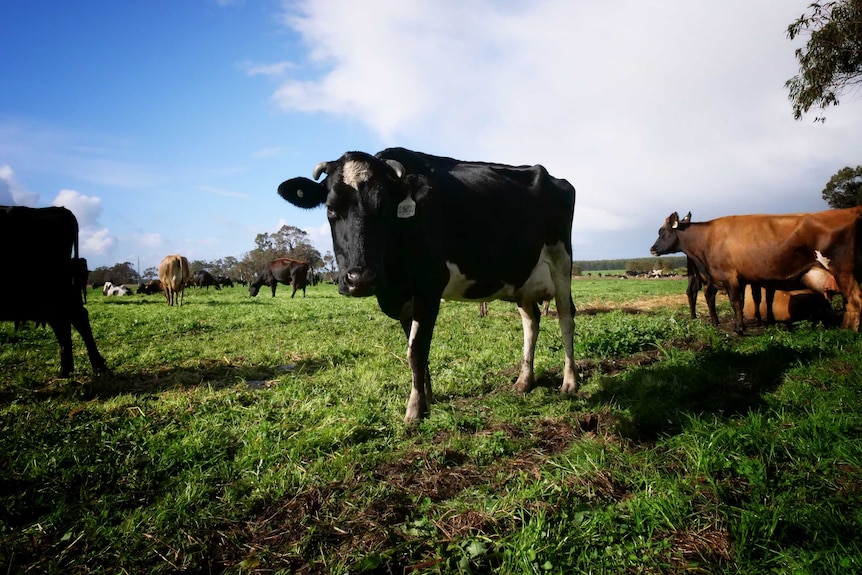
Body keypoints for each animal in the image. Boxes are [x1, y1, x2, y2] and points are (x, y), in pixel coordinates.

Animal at [280, 147, 580, 424]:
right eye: (331, 209)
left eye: (384, 208)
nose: (360, 279)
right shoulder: (405, 299)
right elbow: (415, 349)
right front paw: (428, 398)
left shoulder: (429, 287)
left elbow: (416, 351)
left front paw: (414, 411)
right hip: (522, 278)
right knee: (531, 321)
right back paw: (524, 381)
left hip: (561, 263)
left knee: (566, 318)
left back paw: (570, 382)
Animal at [652, 212, 860, 336]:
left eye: (661, 231)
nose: (652, 249)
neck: (706, 239)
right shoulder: (743, 279)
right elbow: (749, 300)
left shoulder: (730, 277)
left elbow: (737, 302)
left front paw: (739, 329)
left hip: (844, 273)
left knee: (855, 300)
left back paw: (849, 330)